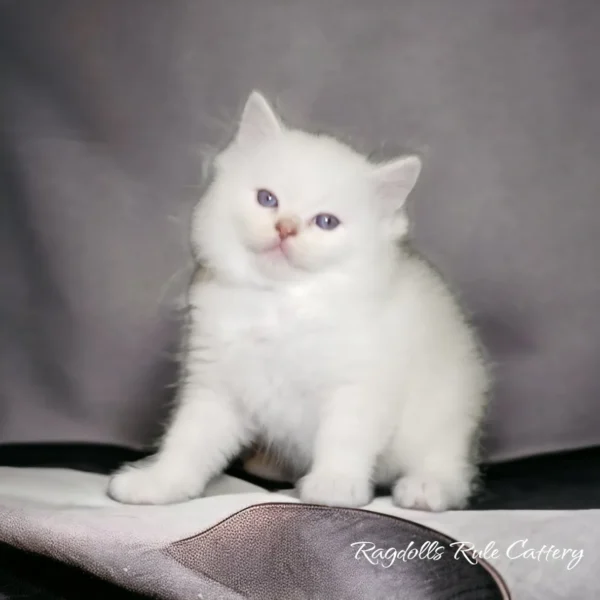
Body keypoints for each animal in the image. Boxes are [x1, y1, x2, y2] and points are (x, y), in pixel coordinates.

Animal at [109, 90, 488, 510]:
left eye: (326, 222)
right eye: (267, 199)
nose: (285, 228)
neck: (277, 306)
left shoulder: (360, 383)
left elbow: (344, 437)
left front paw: (335, 486)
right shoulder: (215, 386)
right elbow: (187, 442)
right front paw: (157, 483)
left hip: (448, 411)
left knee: (450, 466)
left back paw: (427, 488)